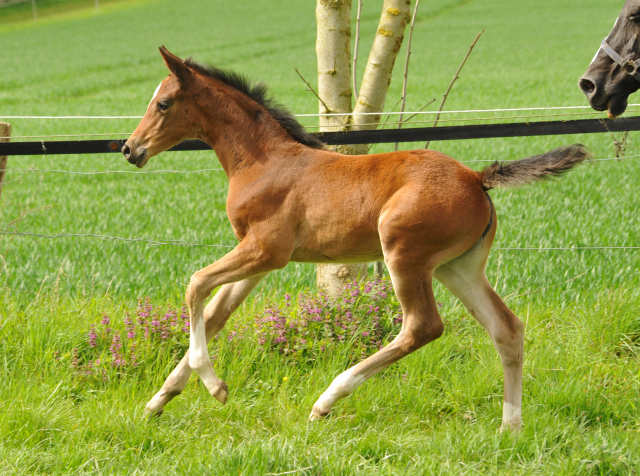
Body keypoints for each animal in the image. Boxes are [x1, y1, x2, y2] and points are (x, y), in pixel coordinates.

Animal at [121, 48, 592, 432]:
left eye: (163, 103)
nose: (129, 149)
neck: (263, 161)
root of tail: (478, 178)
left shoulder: (266, 251)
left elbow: (195, 284)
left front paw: (214, 387)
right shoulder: (258, 260)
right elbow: (215, 314)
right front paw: (158, 401)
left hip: (404, 253)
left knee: (423, 326)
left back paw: (327, 400)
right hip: (458, 267)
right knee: (506, 328)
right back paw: (509, 428)